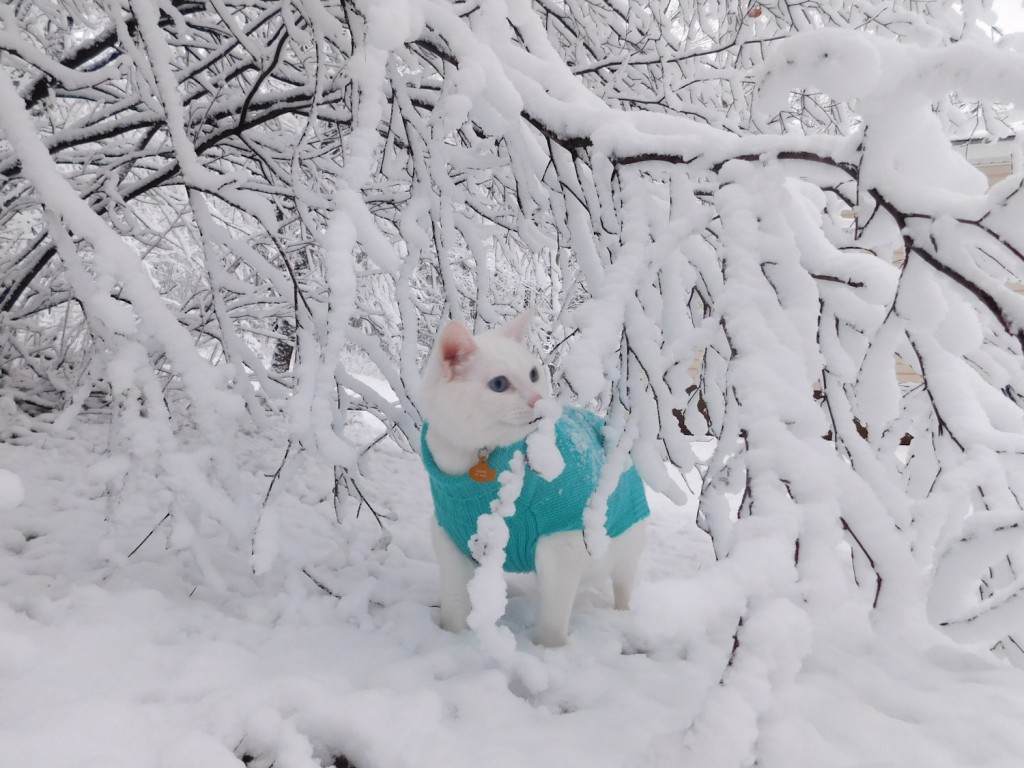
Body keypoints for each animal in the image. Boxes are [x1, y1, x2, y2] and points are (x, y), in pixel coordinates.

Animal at [417, 313, 647, 651]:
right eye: (499, 384)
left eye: (534, 373)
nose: (539, 401)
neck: (477, 459)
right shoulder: (450, 540)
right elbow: (454, 610)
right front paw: (453, 642)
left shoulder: (560, 547)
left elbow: (552, 626)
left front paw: (549, 653)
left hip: (625, 547)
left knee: (623, 586)